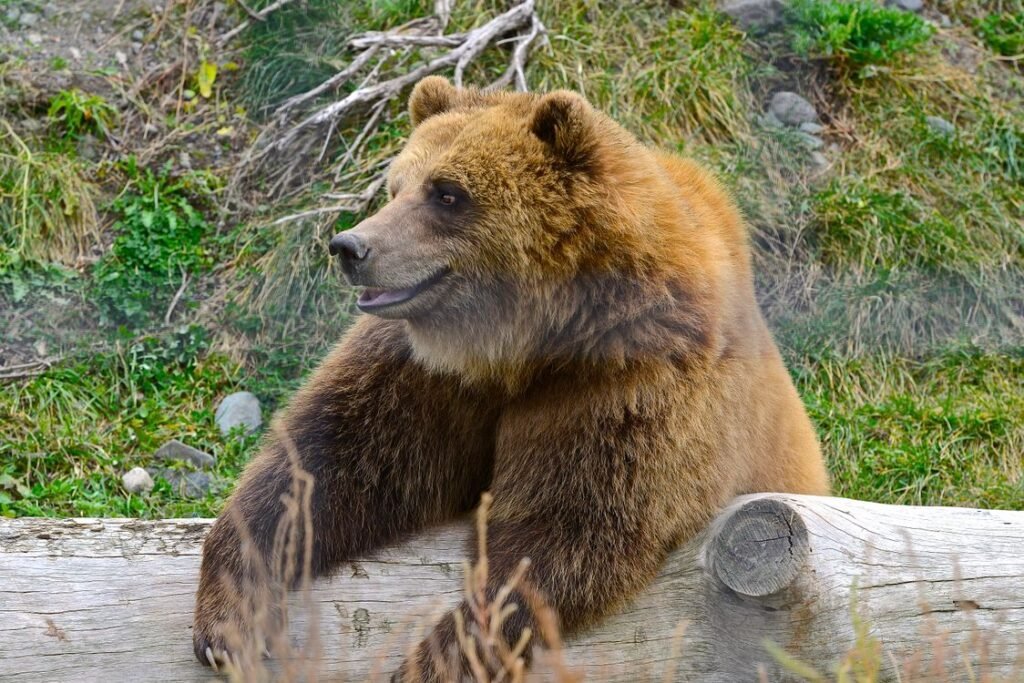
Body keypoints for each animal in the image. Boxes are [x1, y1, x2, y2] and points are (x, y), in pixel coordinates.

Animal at [192, 76, 830, 680]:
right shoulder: (428, 370)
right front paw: (229, 622)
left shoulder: (631, 382)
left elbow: (568, 528)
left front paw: (440, 657)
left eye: (447, 192)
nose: (351, 246)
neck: (527, 344)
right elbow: (334, 459)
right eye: (396, 186)